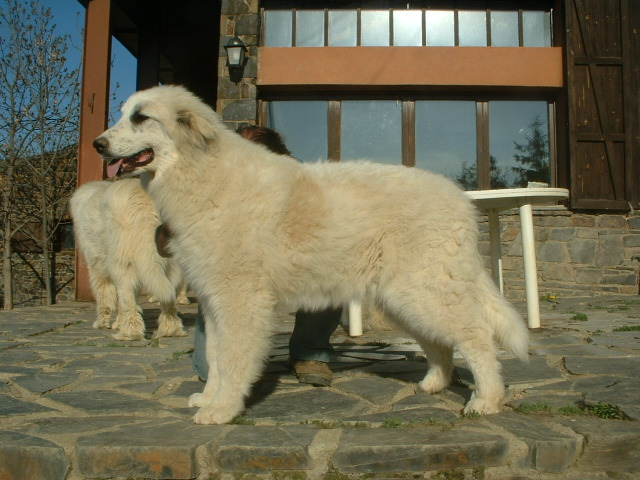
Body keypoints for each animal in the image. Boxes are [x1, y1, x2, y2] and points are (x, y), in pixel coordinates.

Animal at [72, 178, 190, 340]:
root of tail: (145, 204)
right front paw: (117, 323)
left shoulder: (97, 266)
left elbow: (104, 296)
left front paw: (102, 323)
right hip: (170, 264)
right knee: (169, 300)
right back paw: (171, 330)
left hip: (124, 264)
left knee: (128, 300)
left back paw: (129, 334)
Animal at [92, 85, 528, 424]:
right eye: (123, 115)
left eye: (141, 118)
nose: (98, 144)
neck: (201, 172)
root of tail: (459, 200)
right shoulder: (215, 300)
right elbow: (215, 357)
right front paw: (211, 398)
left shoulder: (240, 300)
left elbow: (232, 358)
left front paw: (223, 409)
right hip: (404, 298)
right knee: (440, 343)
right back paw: (434, 384)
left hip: (426, 291)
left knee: (477, 337)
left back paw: (486, 400)